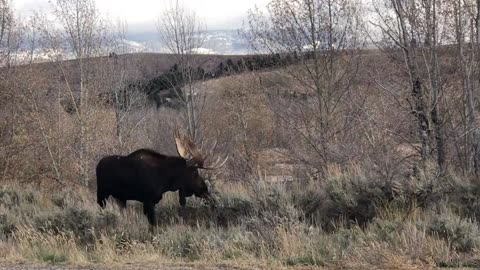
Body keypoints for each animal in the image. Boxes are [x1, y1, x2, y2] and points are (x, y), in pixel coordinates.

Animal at [96, 127, 228, 225]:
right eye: (195, 173)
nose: (205, 190)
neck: (166, 180)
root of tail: (97, 165)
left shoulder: (152, 201)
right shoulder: (148, 200)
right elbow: (153, 225)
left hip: (121, 198)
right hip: (102, 194)